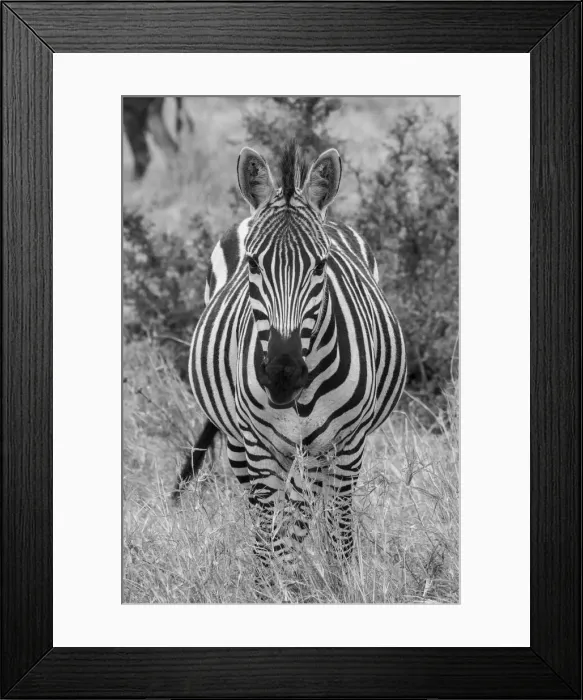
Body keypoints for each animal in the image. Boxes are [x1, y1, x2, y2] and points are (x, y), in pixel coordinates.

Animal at [174, 142, 406, 566]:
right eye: (252, 263)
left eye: (321, 264)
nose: (283, 373)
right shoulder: (258, 444)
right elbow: (267, 535)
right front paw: (274, 579)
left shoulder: (345, 442)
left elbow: (332, 530)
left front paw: (334, 578)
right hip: (239, 443)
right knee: (265, 510)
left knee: (316, 509)